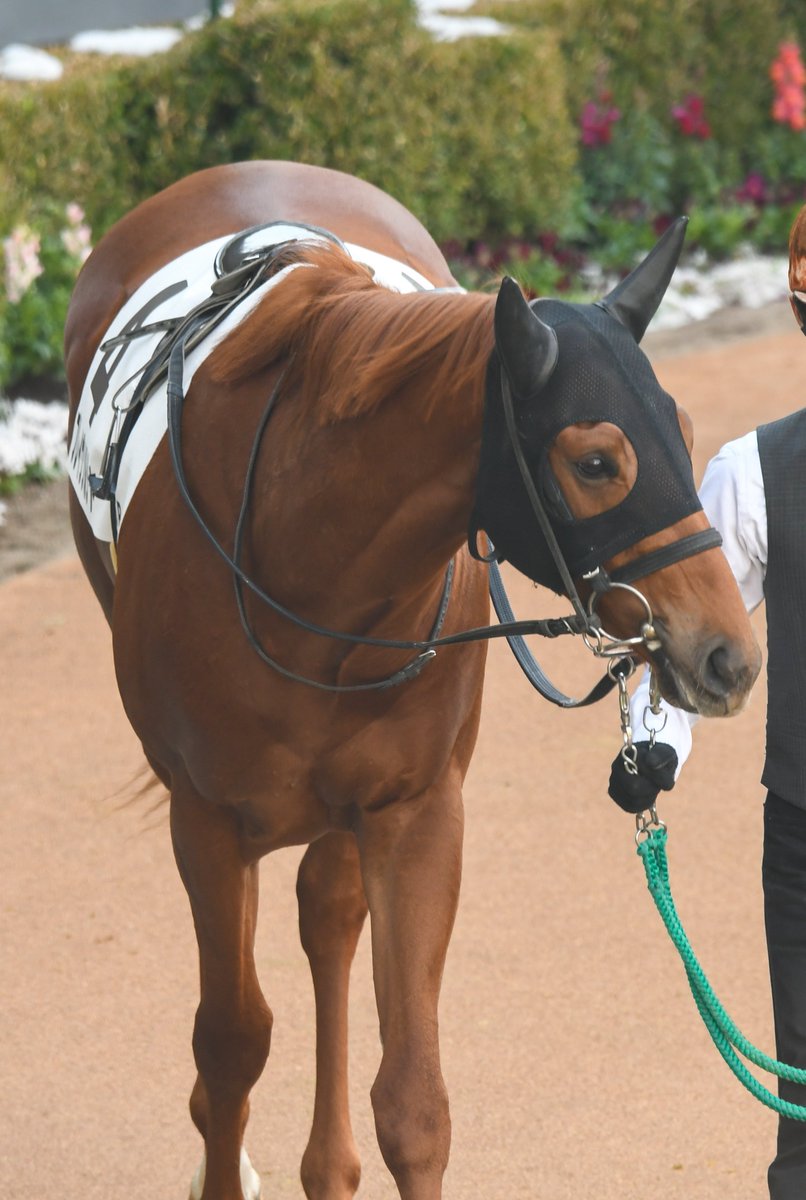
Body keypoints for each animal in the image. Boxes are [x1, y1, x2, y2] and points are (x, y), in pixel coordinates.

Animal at [64, 160, 761, 1200]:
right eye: (597, 461)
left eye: (679, 426)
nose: (729, 651)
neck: (303, 562)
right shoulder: (209, 819)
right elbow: (229, 1046)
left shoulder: (417, 810)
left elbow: (416, 1104)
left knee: (328, 914)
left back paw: (328, 1165)